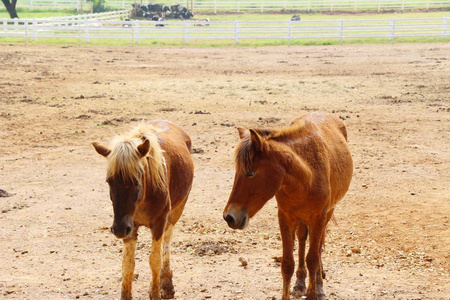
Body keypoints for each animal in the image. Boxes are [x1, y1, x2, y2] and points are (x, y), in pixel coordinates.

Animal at [93, 120, 193, 300]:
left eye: (136, 180)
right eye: (109, 181)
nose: (118, 229)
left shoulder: (159, 223)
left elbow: (155, 260)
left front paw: (155, 292)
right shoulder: (130, 227)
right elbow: (128, 264)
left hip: (176, 210)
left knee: (167, 241)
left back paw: (166, 284)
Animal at [223, 112, 354, 300]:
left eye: (251, 173)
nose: (229, 217)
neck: (306, 176)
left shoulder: (318, 218)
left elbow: (313, 259)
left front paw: (314, 291)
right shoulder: (285, 217)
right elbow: (287, 264)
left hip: (328, 213)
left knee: (319, 245)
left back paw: (319, 285)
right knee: (302, 238)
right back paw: (300, 283)